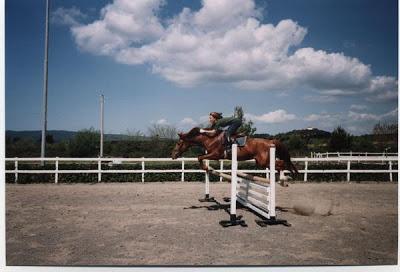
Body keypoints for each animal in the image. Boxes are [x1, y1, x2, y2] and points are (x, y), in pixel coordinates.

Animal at [170, 126, 298, 184]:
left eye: (178, 143)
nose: (173, 155)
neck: (210, 139)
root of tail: (271, 141)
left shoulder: (216, 155)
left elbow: (200, 157)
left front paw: (205, 167)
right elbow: (200, 156)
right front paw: (206, 168)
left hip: (264, 161)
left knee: (281, 163)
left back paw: (285, 178)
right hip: (261, 162)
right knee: (280, 164)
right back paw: (283, 178)